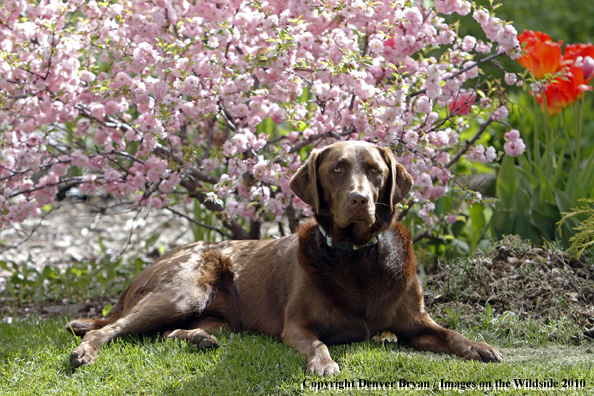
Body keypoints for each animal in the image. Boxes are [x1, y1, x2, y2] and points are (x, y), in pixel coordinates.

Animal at [65, 142, 500, 374]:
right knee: (106, 329)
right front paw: (323, 364)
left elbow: (450, 334)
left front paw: (480, 346)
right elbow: (319, 344)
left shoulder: (415, 324)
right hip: (182, 292)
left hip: (219, 316)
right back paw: (85, 351)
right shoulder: (298, 325)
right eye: (337, 168)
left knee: (171, 333)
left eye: (375, 170)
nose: (359, 199)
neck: (357, 259)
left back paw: (200, 339)